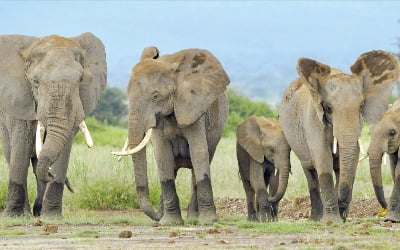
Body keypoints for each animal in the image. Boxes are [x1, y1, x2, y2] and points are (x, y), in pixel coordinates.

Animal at [0, 32, 107, 217]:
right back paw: (26, 213)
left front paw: (52, 216)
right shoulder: (21, 100)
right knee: (12, 154)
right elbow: (21, 145)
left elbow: (64, 146)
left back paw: (38, 212)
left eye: (80, 80)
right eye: (35, 82)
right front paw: (14, 216)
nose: (51, 173)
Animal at [112, 46, 230, 226]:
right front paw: (169, 223)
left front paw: (208, 222)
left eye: (156, 96)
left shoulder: (194, 109)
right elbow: (162, 156)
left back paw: (192, 218)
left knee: (197, 167)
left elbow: (199, 152)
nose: (155, 217)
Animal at [278, 49, 400, 222]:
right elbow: (323, 159)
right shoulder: (313, 118)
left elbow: (350, 158)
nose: (342, 202)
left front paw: (340, 216)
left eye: (361, 107)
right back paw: (316, 218)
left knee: (336, 168)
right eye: (328, 108)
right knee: (310, 172)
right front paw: (331, 221)